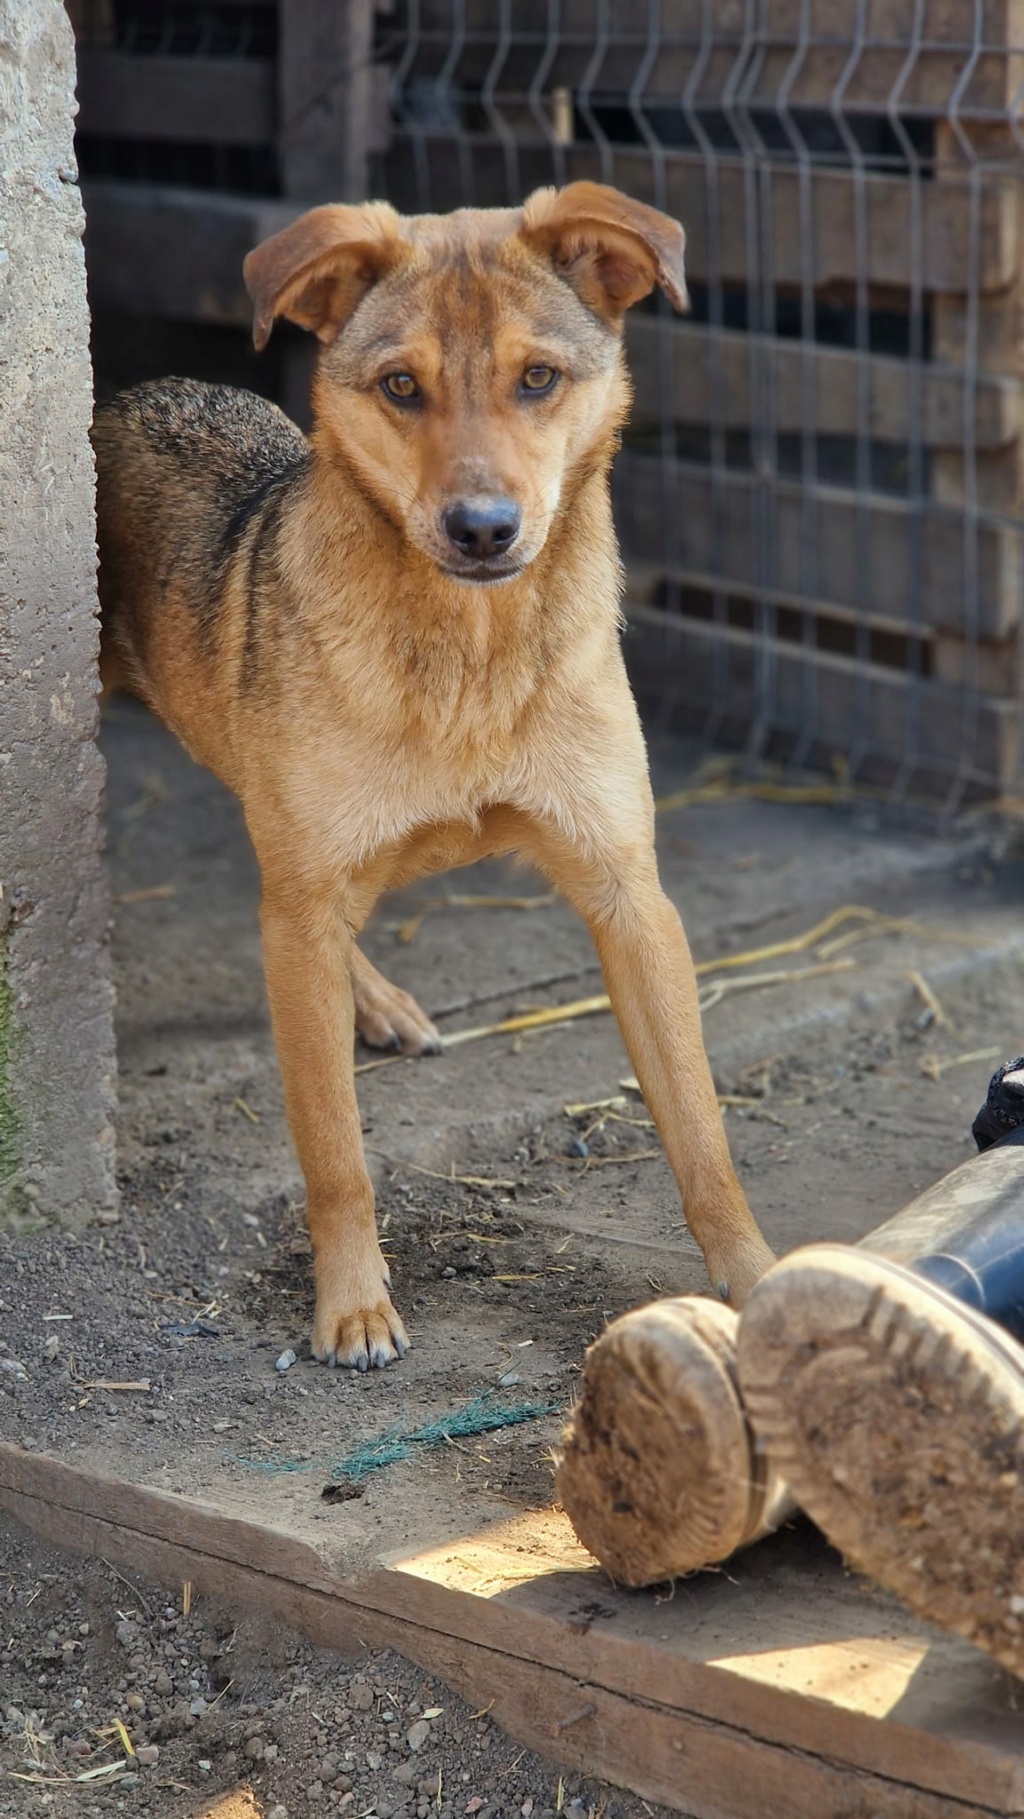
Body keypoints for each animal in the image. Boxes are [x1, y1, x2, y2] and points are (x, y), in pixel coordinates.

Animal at [96, 188, 774, 1375]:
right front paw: (354, 1305)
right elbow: (333, 1151)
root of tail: (116, 397)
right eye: (401, 386)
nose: (483, 529)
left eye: (538, 378)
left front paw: (757, 1276)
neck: (470, 654)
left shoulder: (630, 897)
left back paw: (375, 999)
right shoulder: (309, 892)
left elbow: (700, 1130)